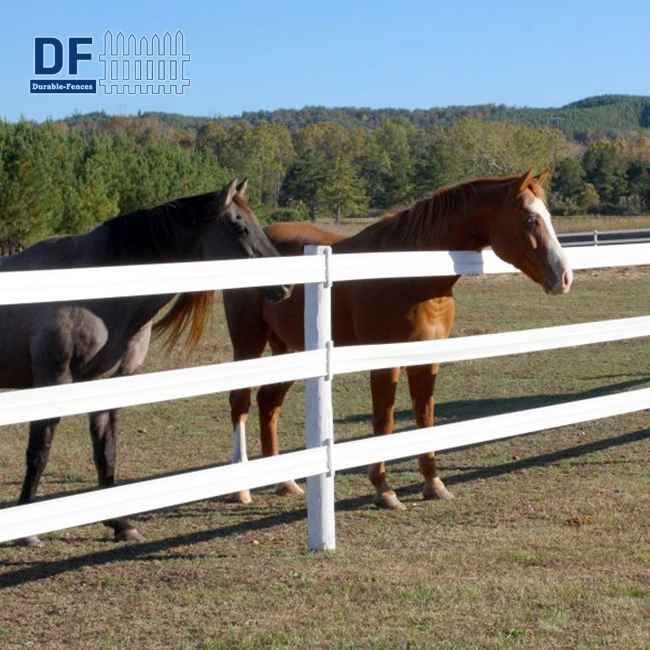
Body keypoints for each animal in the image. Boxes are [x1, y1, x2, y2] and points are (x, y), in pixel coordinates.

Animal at [0, 178, 291, 547]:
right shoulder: (53, 379)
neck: (93, 291)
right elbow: (39, 453)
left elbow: (106, 453)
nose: (286, 286)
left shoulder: (110, 383)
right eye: (241, 227)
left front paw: (121, 525)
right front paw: (27, 532)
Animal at [214, 170, 573, 510]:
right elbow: (384, 424)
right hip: (248, 341)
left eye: (548, 216)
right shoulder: (385, 363)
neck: (410, 275)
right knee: (240, 402)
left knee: (268, 402)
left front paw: (434, 483)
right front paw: (384, 491)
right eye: (530, 219)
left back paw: (285, 482)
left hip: (289, 348)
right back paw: (241, 489)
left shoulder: (427, 359)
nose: (564, 276)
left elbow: (425, 418)